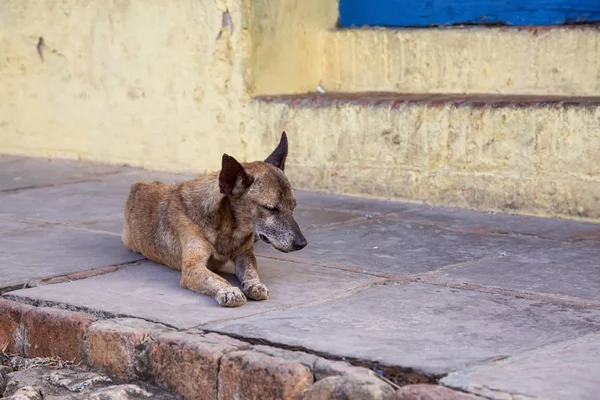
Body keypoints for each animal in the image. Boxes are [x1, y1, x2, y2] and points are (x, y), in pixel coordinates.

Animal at [122, 131, 310, 306]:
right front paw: (228, 291)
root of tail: (137, 185)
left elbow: (250, 270)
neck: (227, 226)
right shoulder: (192, 267)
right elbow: (214, 278)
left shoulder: (245, 254)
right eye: (270, 209)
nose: (302, 244)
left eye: (293, 207)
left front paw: (253, 284)